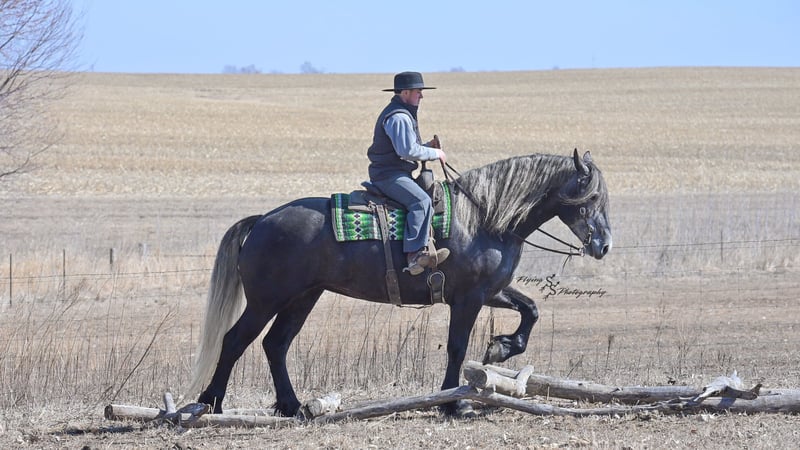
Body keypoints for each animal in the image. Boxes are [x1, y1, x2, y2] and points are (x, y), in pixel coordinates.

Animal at [186, 149, 612, 417]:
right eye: (590, 197)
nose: (603, 245)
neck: (484, 218)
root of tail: (262, 220)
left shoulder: (488, 292)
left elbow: (531, 310)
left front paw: (501, 349)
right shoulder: (468, 298)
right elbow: (457, 348)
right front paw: (453, 402)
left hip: (302, 298)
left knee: (275, 344)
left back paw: (292, 407)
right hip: (266, 301)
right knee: (235, 341)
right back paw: (211, 403)